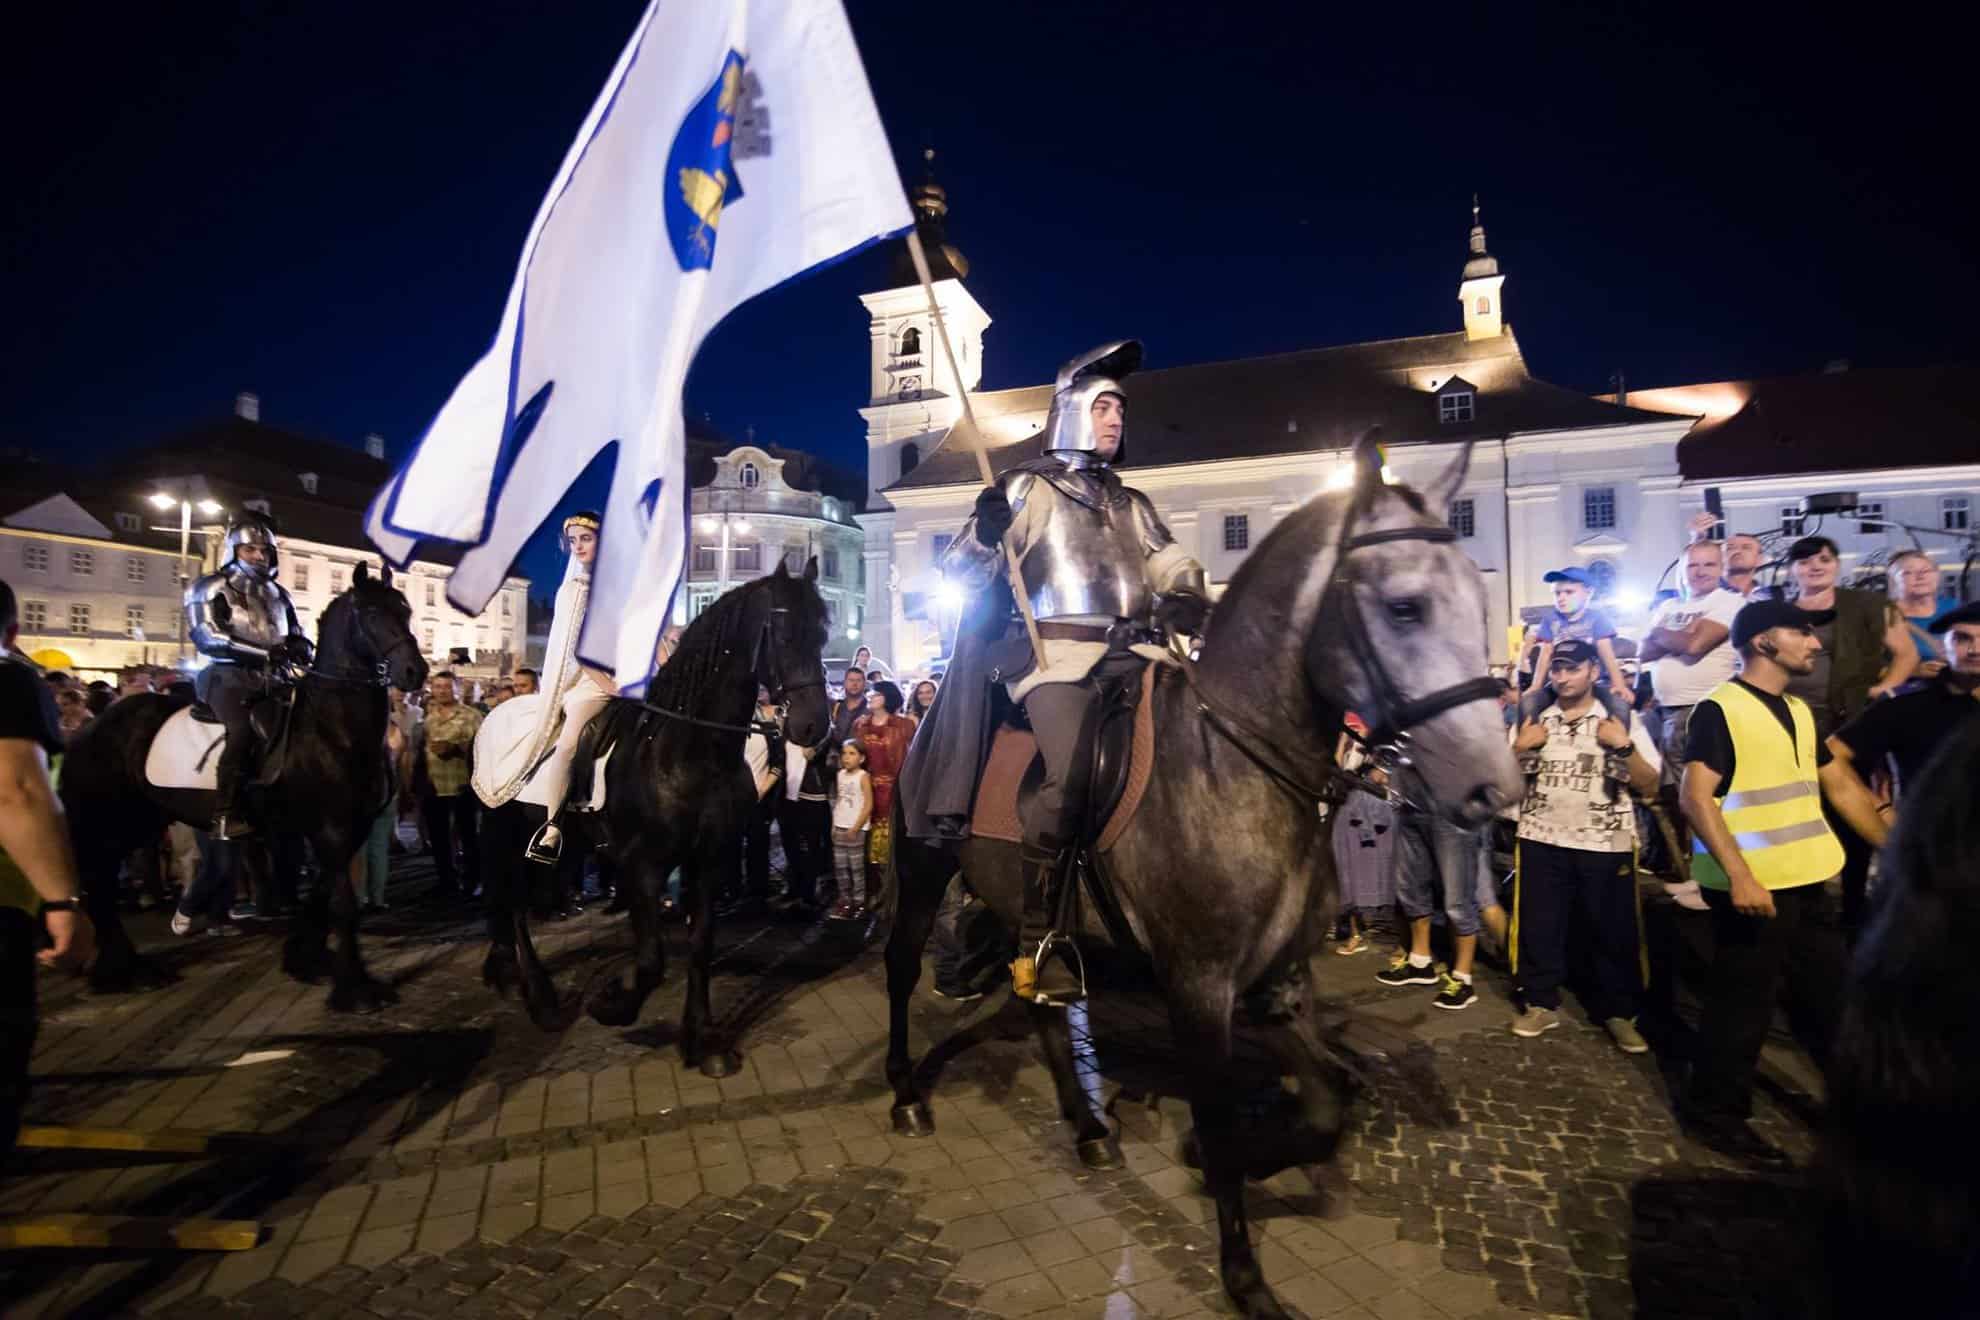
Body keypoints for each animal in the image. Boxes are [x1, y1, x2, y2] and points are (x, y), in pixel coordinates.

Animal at [62, 565, 429, 1013]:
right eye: (372, 614)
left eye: (405, 611)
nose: (414, 672)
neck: (329, 729)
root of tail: (89, 728)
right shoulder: (330, 830)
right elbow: (342, 905)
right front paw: (354, 988)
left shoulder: (348, 830)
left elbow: (321, 894)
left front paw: (304, 958)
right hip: (113, 819)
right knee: (97, 880)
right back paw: (127, 970)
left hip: (142, 820)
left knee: (99, 880)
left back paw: (125, 969)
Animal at [483, 558, 831, 1076]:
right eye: (785, 634)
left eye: (824, 634)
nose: (814, 727)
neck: (689, 752)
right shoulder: (643, 865)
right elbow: (651, 962)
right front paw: (610, 1004)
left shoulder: (708, 861)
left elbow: (701, 946)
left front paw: (703, 1043)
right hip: (506, 833)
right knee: (513, 903)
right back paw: (541, 999)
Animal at [891, 439, 1520, 1314]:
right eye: (1404, 608)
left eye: (1476, 595)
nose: (1494, 788)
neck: (1234, 763)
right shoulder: (1199, 987)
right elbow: (1223, 1123)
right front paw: (1243, 1273)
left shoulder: (1280, 982)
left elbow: (1329, 1101)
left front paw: (1240, 1157)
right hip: (922, 867)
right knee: (898, 969)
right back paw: (906, 1096)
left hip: (1026, 911)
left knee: (1042, 998)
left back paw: (1088, 1127)